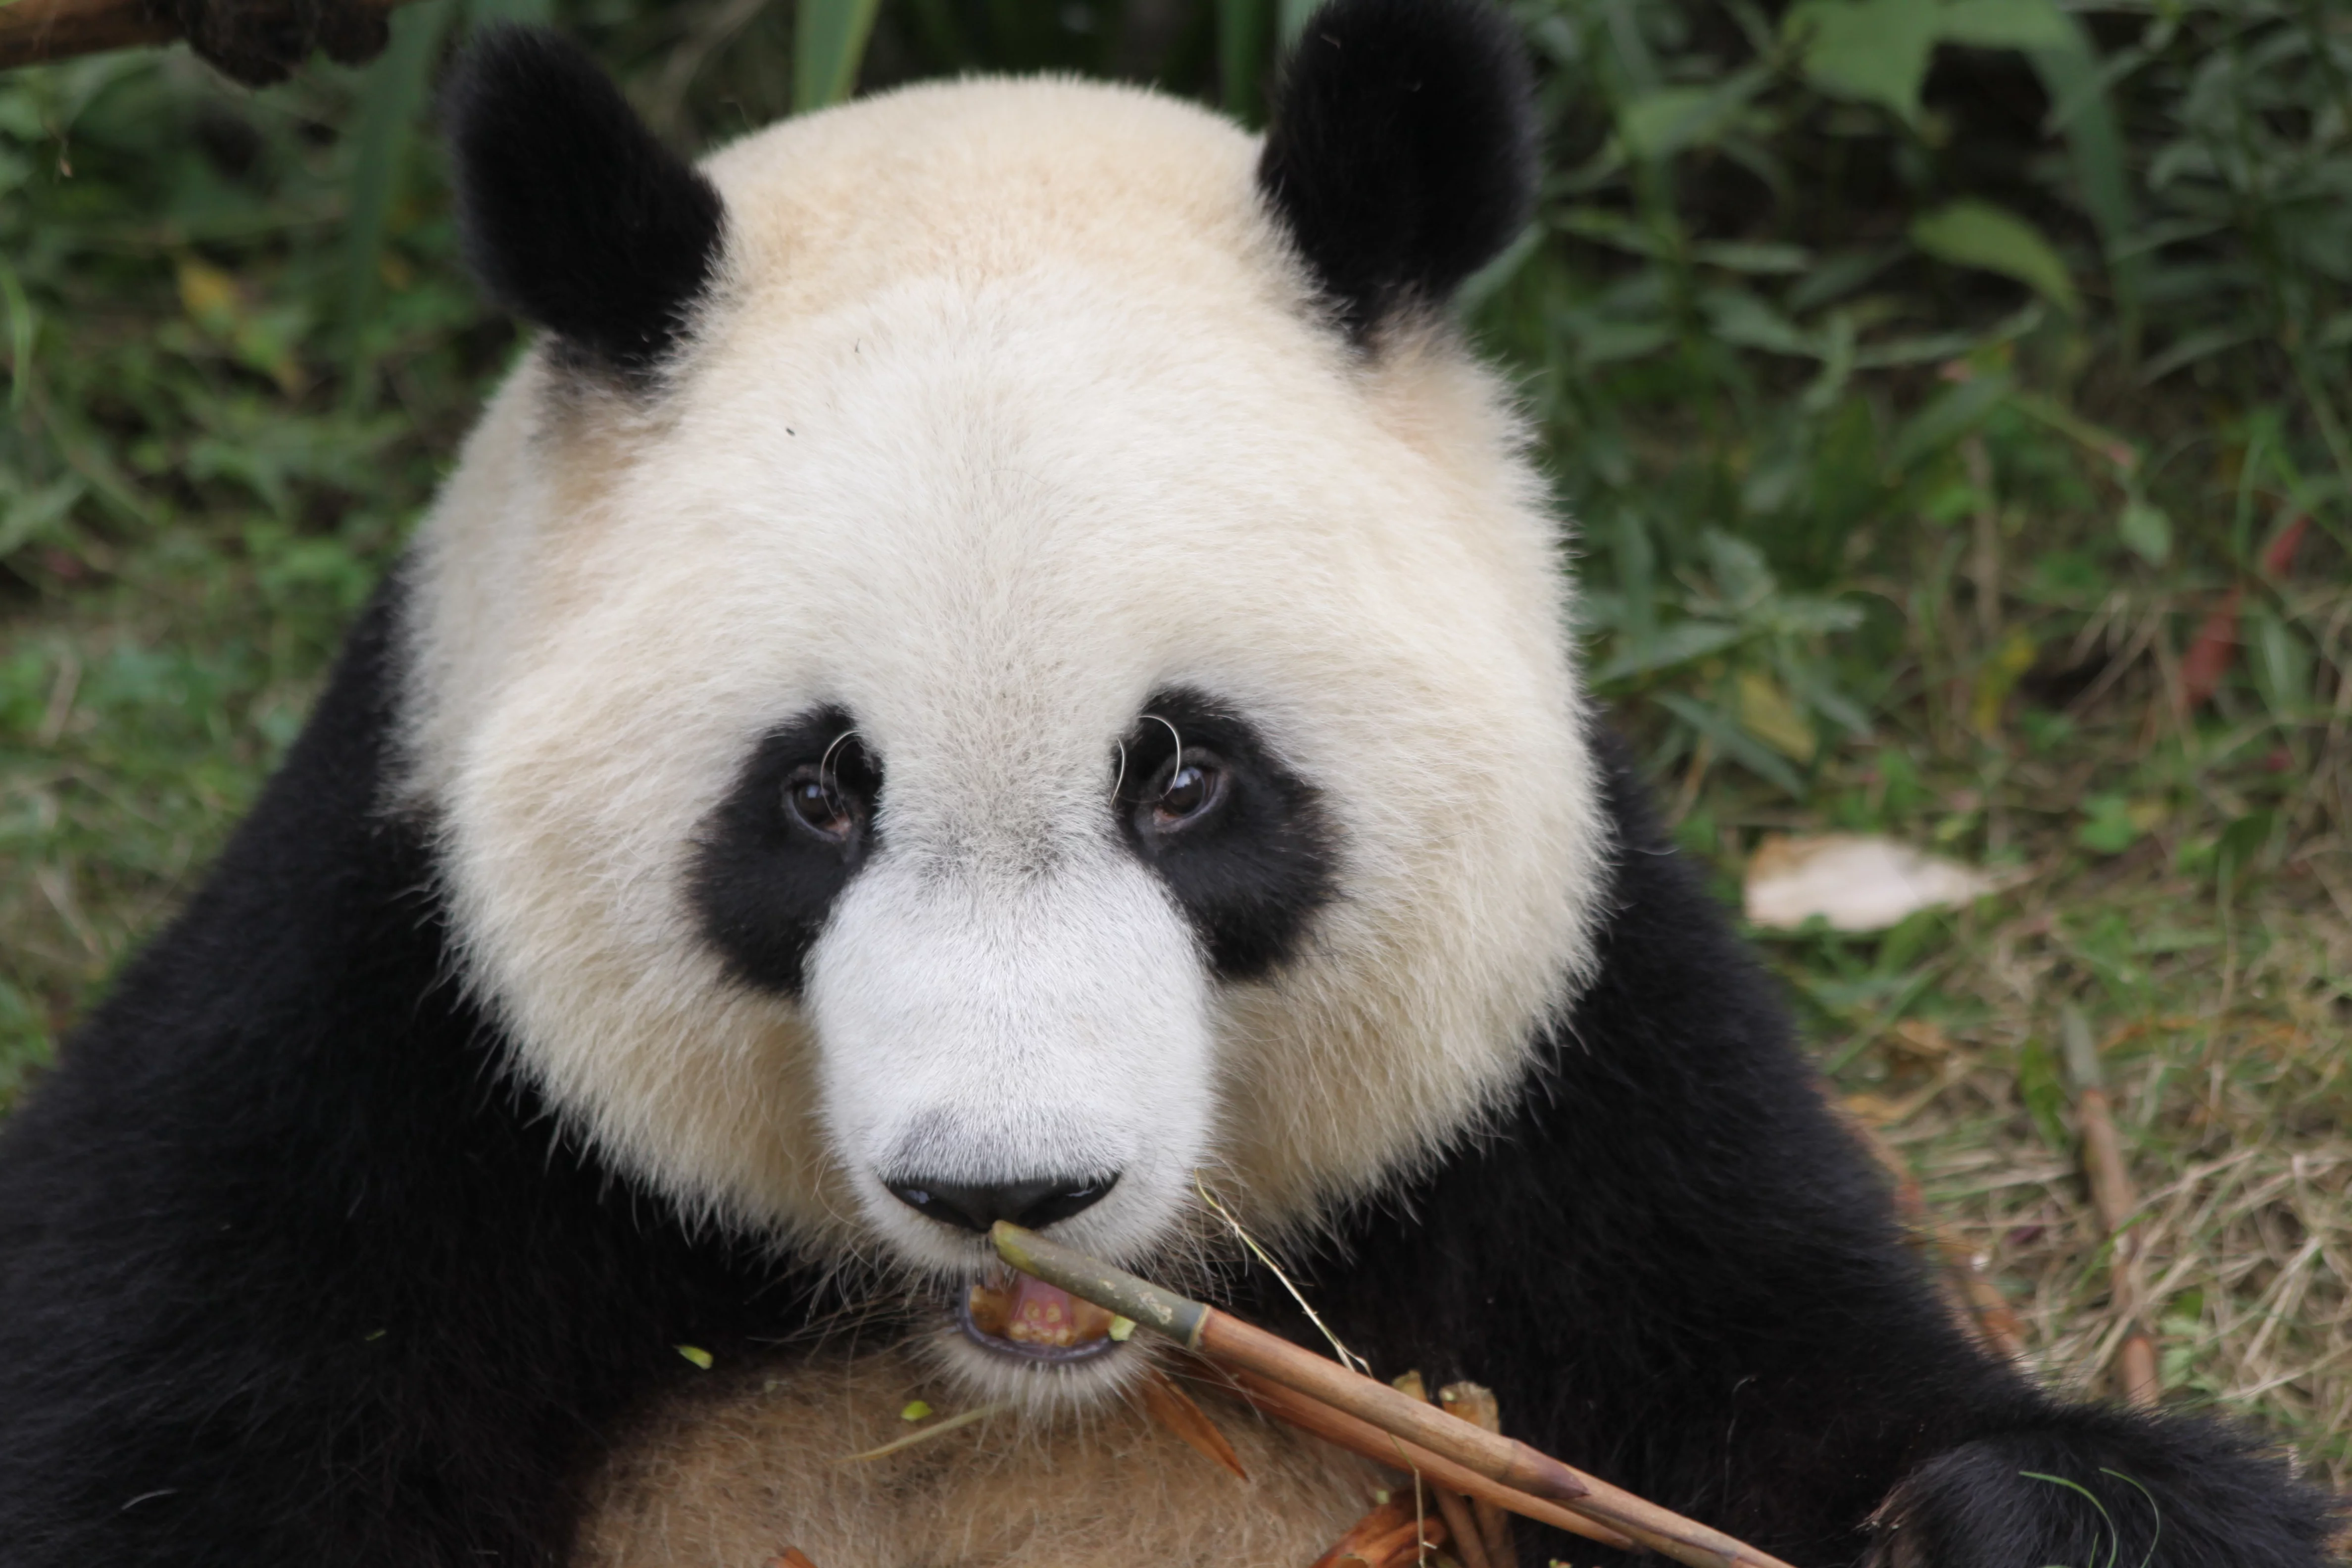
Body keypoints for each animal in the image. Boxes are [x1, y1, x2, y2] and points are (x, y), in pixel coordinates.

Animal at [0, 2, 2336, 1563]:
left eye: (1186, 781)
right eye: (818, 795)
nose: (1006, 1180)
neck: (1004, 1376)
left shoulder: (1582, 1059)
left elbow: (1808, 1374)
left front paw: (2041, 1505)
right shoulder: (379, 1037)